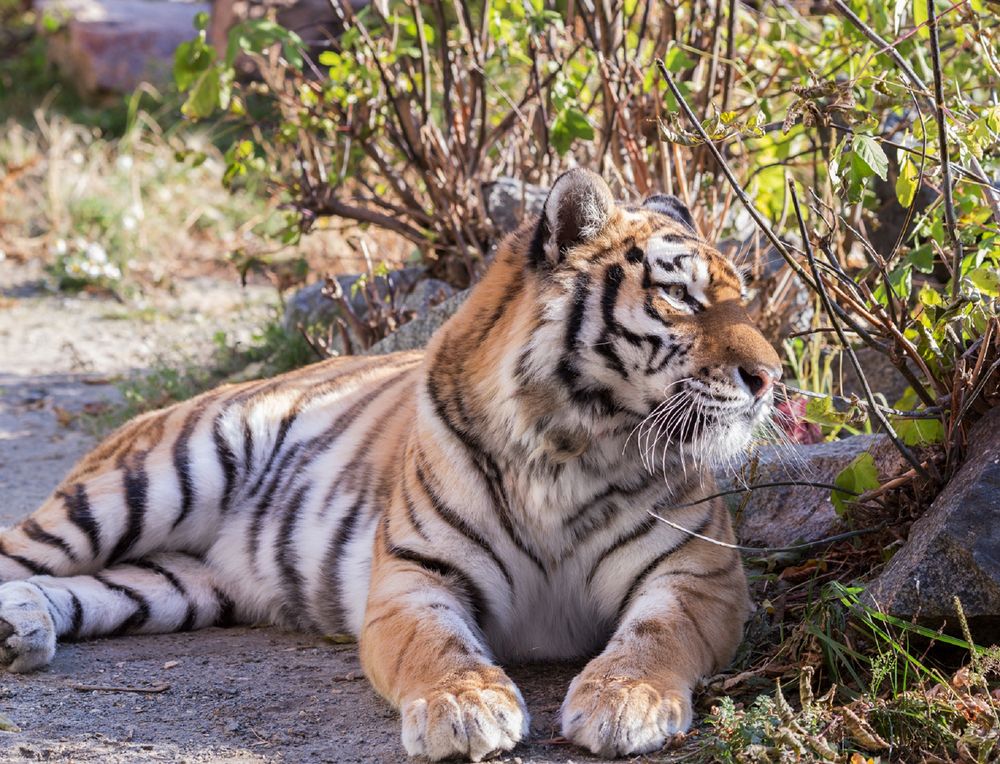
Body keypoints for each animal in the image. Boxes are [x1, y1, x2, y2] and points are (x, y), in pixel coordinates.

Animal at [0, 170, 780, 760]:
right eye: (678, 295)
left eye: (743, 299)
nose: (771, 377)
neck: (571, 447)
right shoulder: (413, 578)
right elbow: (438, 648)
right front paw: (464, 711)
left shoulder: (699, 574)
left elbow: (655, 636)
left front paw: (627, 702)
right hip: (150, 483)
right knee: (20, 554)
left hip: (180, 583)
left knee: (82, 588)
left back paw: (23, 630)